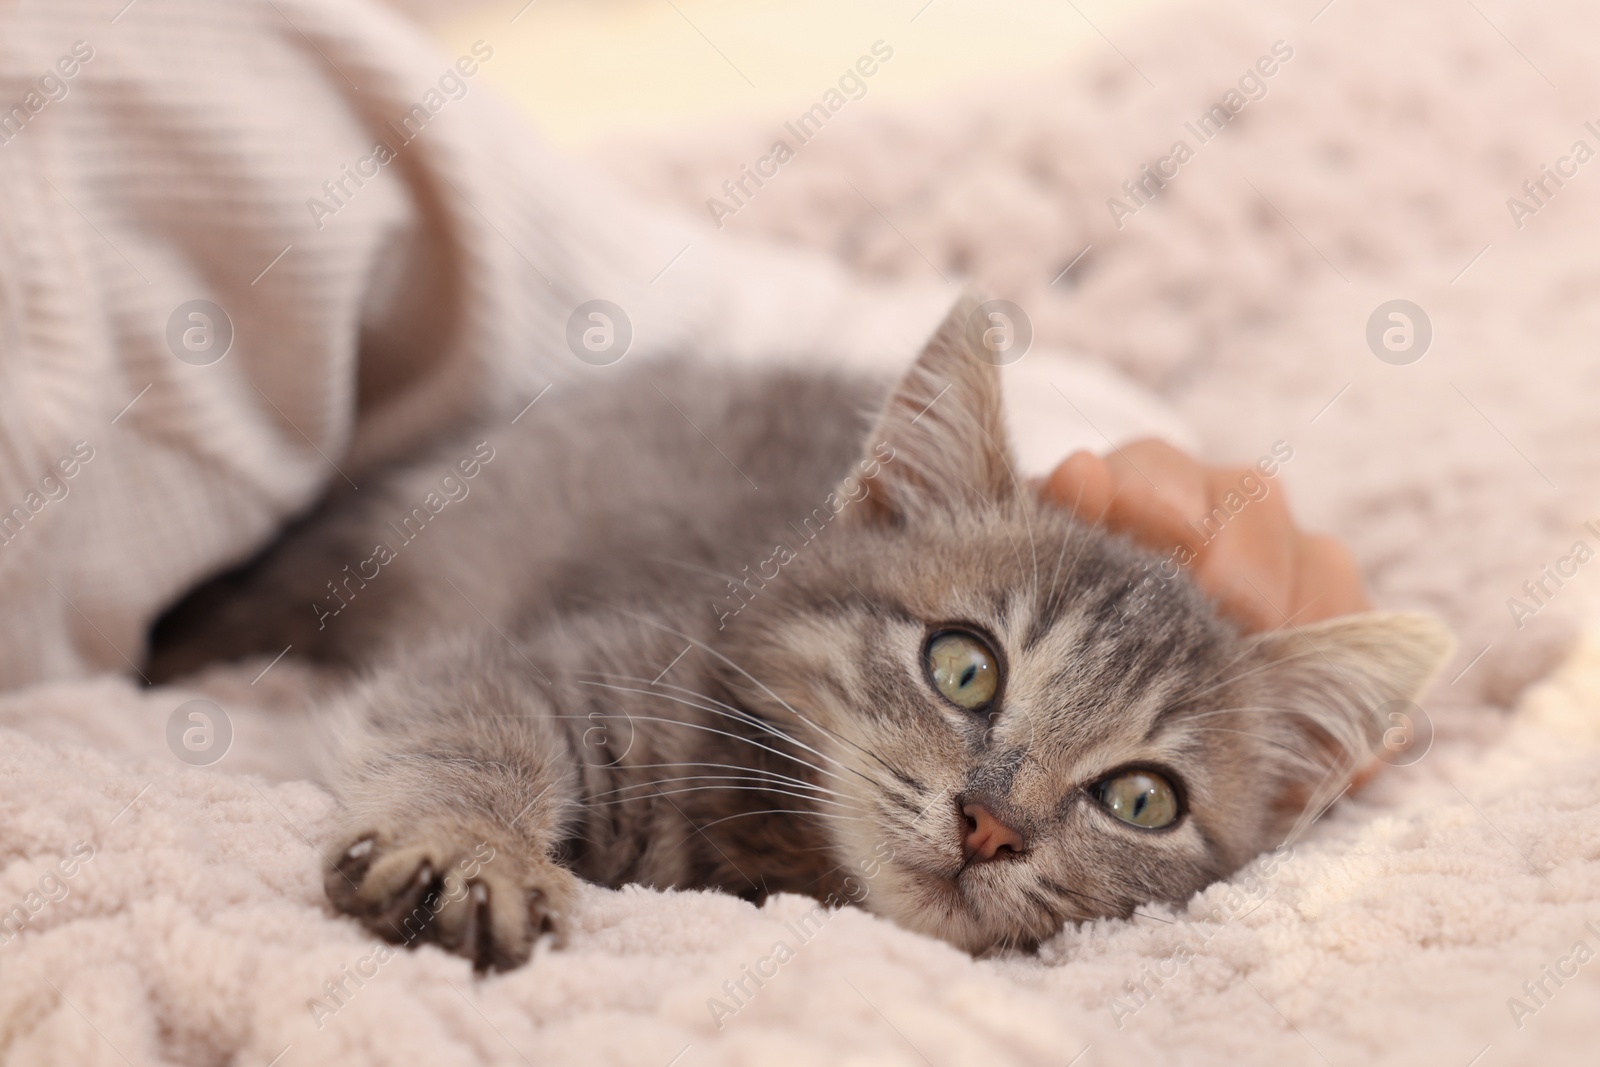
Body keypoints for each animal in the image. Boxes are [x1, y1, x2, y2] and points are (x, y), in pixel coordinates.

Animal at [147, 295, 1452, 972]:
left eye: (1140, 799)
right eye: (963, 666)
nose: (989, 823)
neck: (779, 850)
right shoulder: (533, 660)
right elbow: (470, 730)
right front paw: (471, 848)